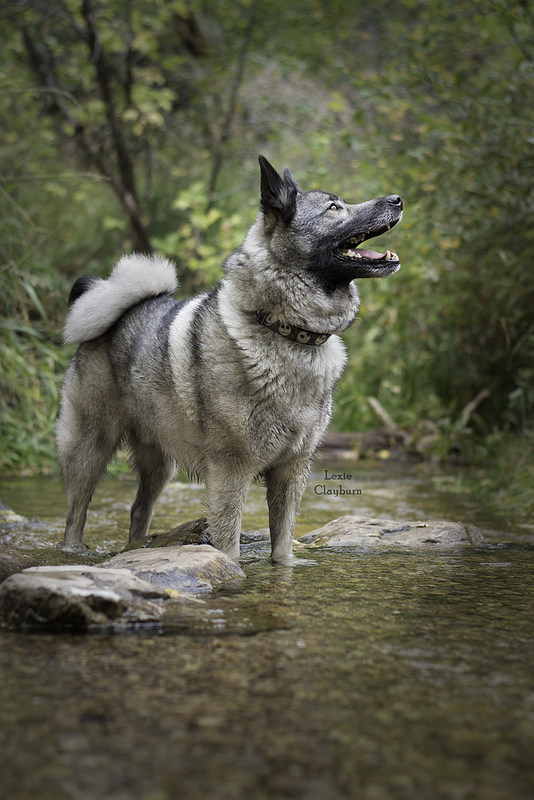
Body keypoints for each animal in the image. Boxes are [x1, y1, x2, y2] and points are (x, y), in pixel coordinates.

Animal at [57, 153, 402, 560]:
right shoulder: (230, 473)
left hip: (158, 461)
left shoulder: (291, 473)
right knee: (76, 512)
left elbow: (282, 547)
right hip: (89, 449)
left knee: (139, 509)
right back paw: (72, 551)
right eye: (334, 208)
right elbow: (229, 547)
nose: (398, 199)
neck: (285, 331)